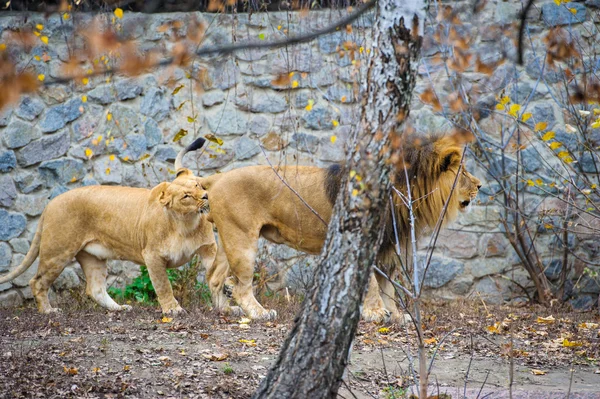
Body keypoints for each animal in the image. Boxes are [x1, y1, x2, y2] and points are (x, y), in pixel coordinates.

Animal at [0, 167, 216, 314]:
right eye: (186, 196)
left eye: (198, 185)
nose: (206, 196)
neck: (185, 223)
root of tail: (50, 203)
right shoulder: (152, 255)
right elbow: (163, 285)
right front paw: (172, 309)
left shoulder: (208, 249)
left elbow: (217, 274)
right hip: (58, 252)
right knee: (37, 282)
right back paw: (48, 311)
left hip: (92, 257)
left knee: (94, 289)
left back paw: (119, 308)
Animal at [176, 134, 480, 322]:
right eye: (463, 172)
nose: (480, 185)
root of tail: (216, 177)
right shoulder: (365, 240)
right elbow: (373, 283)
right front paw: (375, 314)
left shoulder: (387, 245)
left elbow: (388, 286)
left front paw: (395, 316)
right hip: (242, 240)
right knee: (240, 286)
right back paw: (259, 313)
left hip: (231, 237)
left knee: (215, 277)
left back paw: (227, 311)